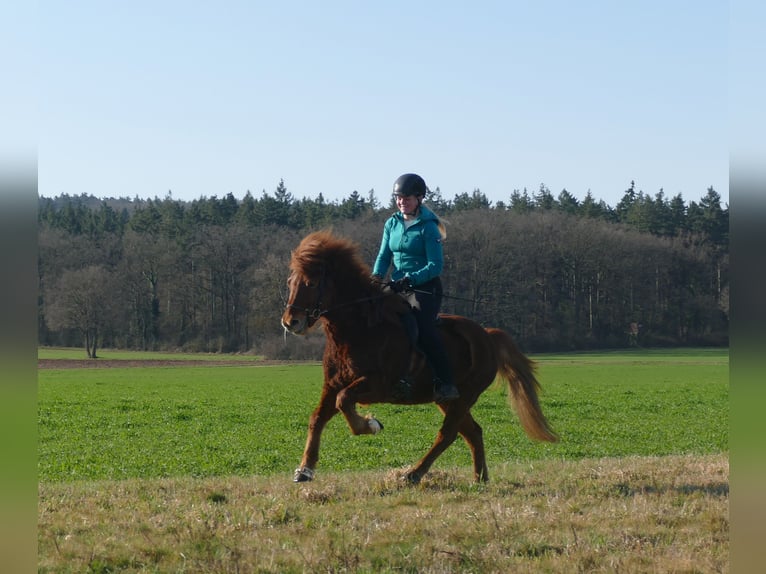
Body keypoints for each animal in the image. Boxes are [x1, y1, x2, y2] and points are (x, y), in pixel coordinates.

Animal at [281, 230, 557, 484]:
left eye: (312, 283)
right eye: (290, 282)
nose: (290, 322)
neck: (359, 328)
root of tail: (487, 335)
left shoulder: (378, 386)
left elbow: (344, 400)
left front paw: (371, 425)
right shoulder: (332, 385)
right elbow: (317, 418)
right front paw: (305, 469)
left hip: (465, 395)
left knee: (448, 434)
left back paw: (414, 474)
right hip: (448, 399)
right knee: (473, 432)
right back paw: (480, 478)